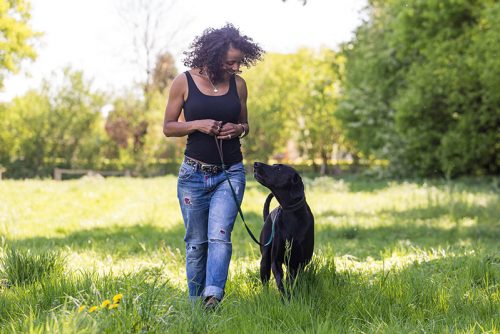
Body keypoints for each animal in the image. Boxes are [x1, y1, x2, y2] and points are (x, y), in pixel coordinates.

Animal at [254, 163, 312, 294]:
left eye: (279, 168)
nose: (256, 164)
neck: (291, 214)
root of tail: (268, 216)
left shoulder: (299, 263)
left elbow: (294, 281)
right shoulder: (276, 261)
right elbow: (280, 282)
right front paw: (285, 297)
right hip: (265, 260)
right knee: (265, 280)